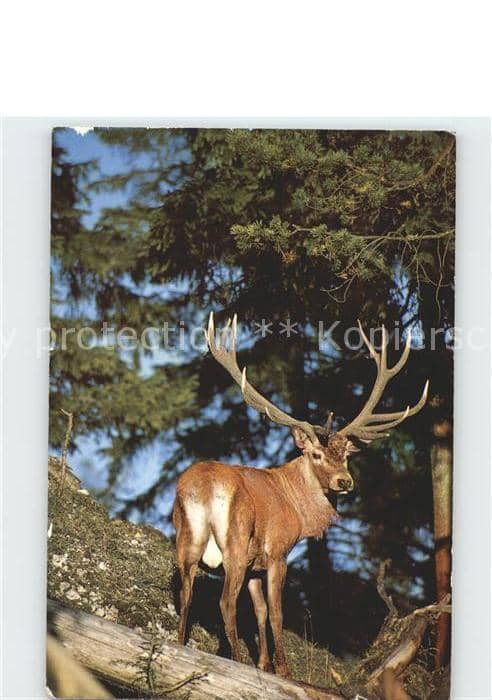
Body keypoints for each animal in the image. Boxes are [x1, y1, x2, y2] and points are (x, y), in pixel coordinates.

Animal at [172, 313, 428, 677]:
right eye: (316, 455)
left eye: (346, 455)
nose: (344, 482)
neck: (293, 500)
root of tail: (205, 487)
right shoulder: (278, 551)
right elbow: (277, 613)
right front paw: (282, 670)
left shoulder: (255, 566)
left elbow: (260, 611)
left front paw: (264, 663)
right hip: (235, 540)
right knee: (225, 602)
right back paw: (235, 661)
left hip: (186, 538)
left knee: (186, 595)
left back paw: (181, 647)